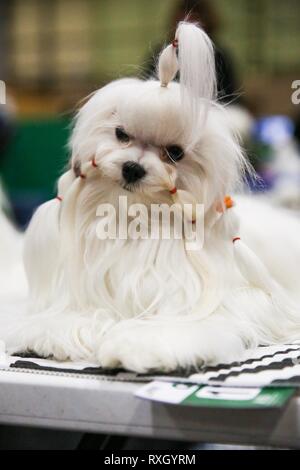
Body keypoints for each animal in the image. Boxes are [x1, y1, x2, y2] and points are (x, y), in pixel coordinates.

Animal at [3, 23, 300, 372]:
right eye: (121, 134)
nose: (132, 168)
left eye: (175, 153)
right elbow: (69, 316)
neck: (135, 223)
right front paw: (59, 334)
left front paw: (141, 346)